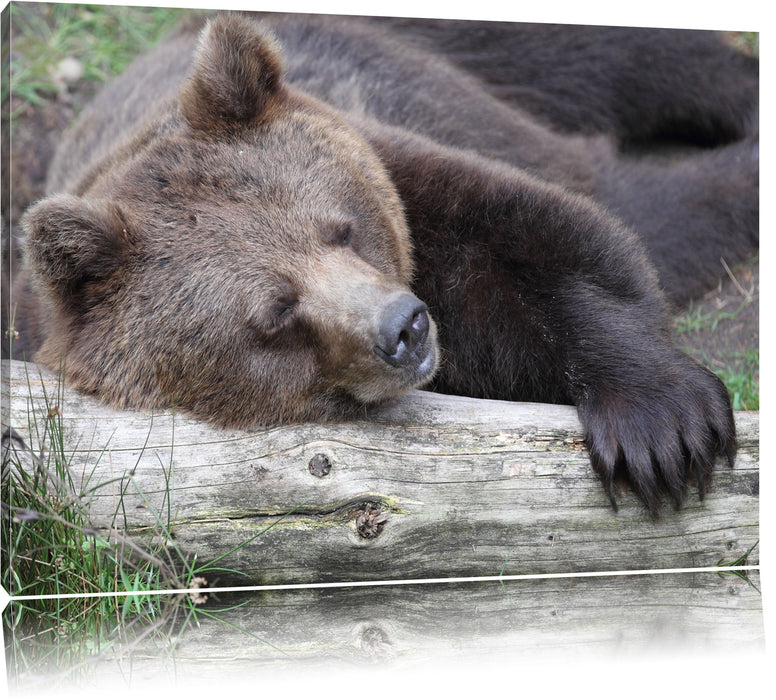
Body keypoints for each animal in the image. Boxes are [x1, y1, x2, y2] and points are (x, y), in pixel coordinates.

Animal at [7, 12, 756, 516]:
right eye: (277, 311)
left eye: (341, 228)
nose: (405, 326)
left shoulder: (408, 169)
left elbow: (558, 240)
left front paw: (661, 426)